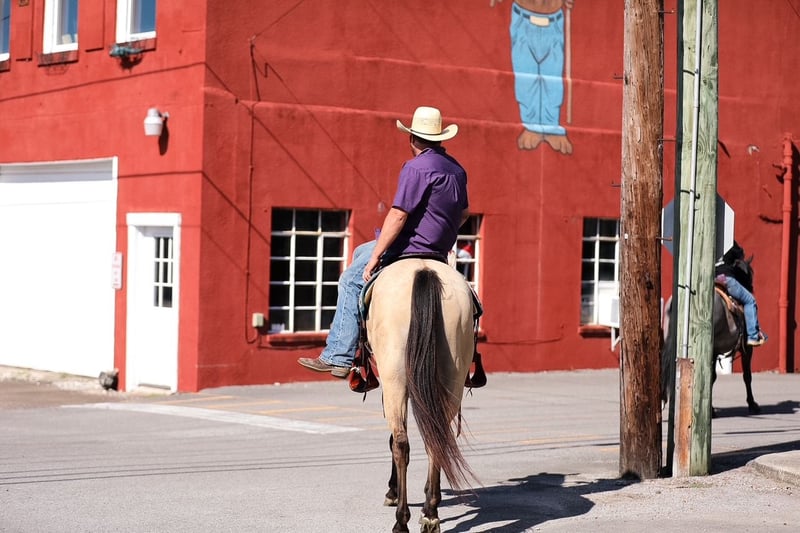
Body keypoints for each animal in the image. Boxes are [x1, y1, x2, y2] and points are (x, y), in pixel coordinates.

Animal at [366, 258, 477, 533]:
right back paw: (430, 514)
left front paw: (392, 491)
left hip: (394, 377)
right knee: (437, 438)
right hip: (453, 374)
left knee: (401, 442)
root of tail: (424, 270)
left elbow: (394, 440)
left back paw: (401, 520)